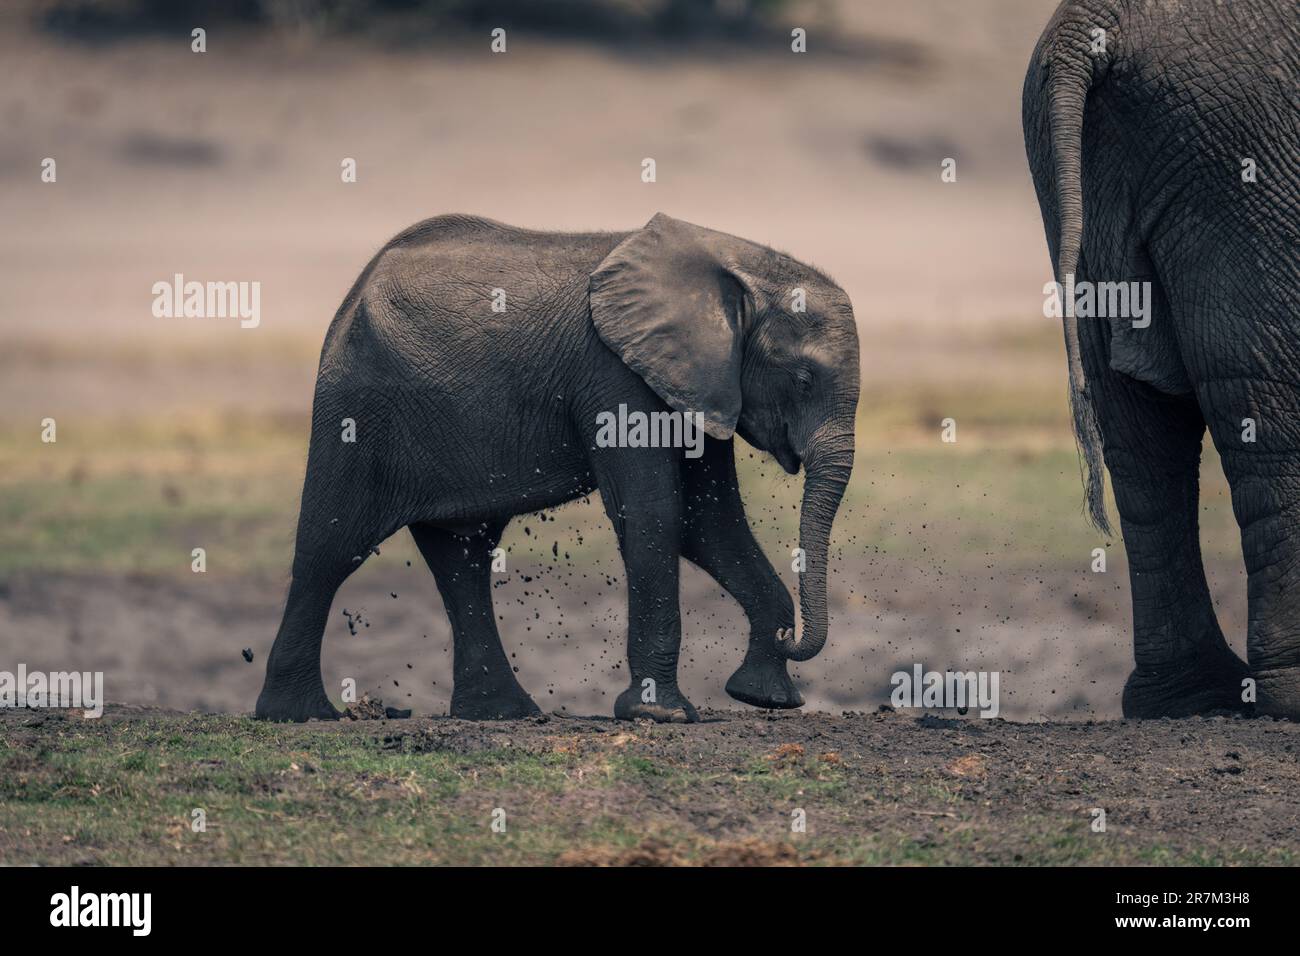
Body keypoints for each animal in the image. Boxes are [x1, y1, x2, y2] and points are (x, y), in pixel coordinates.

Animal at [255, 212, 860, 723]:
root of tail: (355, 292)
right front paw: (659, 716)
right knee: (330, 548)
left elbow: (708, 523)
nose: (789, 639)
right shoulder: (615, 373)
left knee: (462, 558)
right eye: (803, 379)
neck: (734, 263)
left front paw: (766, 699)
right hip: (356, 409)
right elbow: (655, 514)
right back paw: (301, 716)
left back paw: (503, 714)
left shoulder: (701, 383)